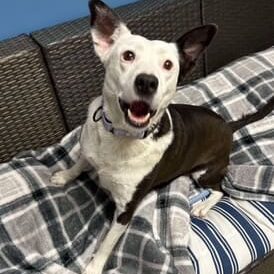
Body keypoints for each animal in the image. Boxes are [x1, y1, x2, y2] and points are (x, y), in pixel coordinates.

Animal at [50, 1, 274, 272]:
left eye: (168, 65)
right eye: (128, 55)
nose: (147, 82)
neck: (121, 136)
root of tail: (228, 126)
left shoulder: (126, 210)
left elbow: (106, 244)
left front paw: (94, 267)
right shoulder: (90, 150)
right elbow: (81, 162)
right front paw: (65, 175)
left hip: (205, 171)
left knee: (221, 189)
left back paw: (202, 206)